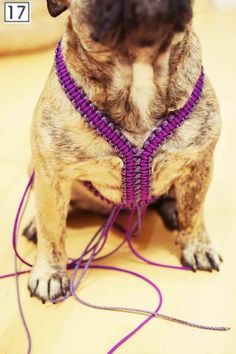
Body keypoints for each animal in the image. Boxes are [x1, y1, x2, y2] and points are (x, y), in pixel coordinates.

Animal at [24, 0, 223, 304]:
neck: (137, 68)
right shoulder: (51, 173)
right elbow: (52, 228)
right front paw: (50, 272)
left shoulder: (199, 163)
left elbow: (194, 211)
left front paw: (197, 245)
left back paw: (172, 209)